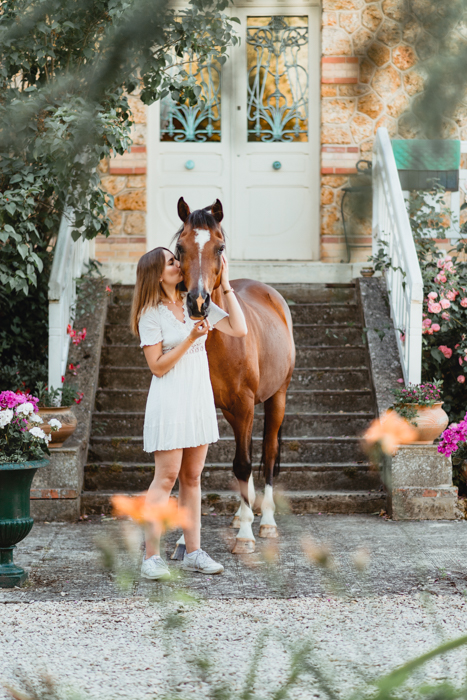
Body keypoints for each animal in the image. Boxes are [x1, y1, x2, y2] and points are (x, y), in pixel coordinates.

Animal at [172, 196, 296, 552]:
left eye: (220, 247)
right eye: (181, 247)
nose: (198, 303)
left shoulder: (245, 405)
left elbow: (243, 463)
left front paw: (245, 538)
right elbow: (193, 470)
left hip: (276, 398)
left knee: (266, 454)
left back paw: (264, 521)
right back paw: (242, 516)